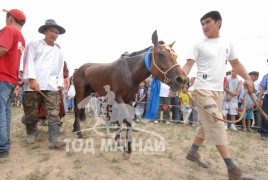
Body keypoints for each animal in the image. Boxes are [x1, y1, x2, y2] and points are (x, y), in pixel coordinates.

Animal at [73, 30, 186, 158]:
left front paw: (119, 142)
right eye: (160, 54)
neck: (129, 73)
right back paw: (79, 133)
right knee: (77, 110)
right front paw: (127, 148)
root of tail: (79, 69)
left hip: (88, 93)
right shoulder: (118, 98)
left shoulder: (129, 99)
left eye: (175, 56)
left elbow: (122, 119)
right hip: (81, 91)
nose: (181, 80)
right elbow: (126, 119)